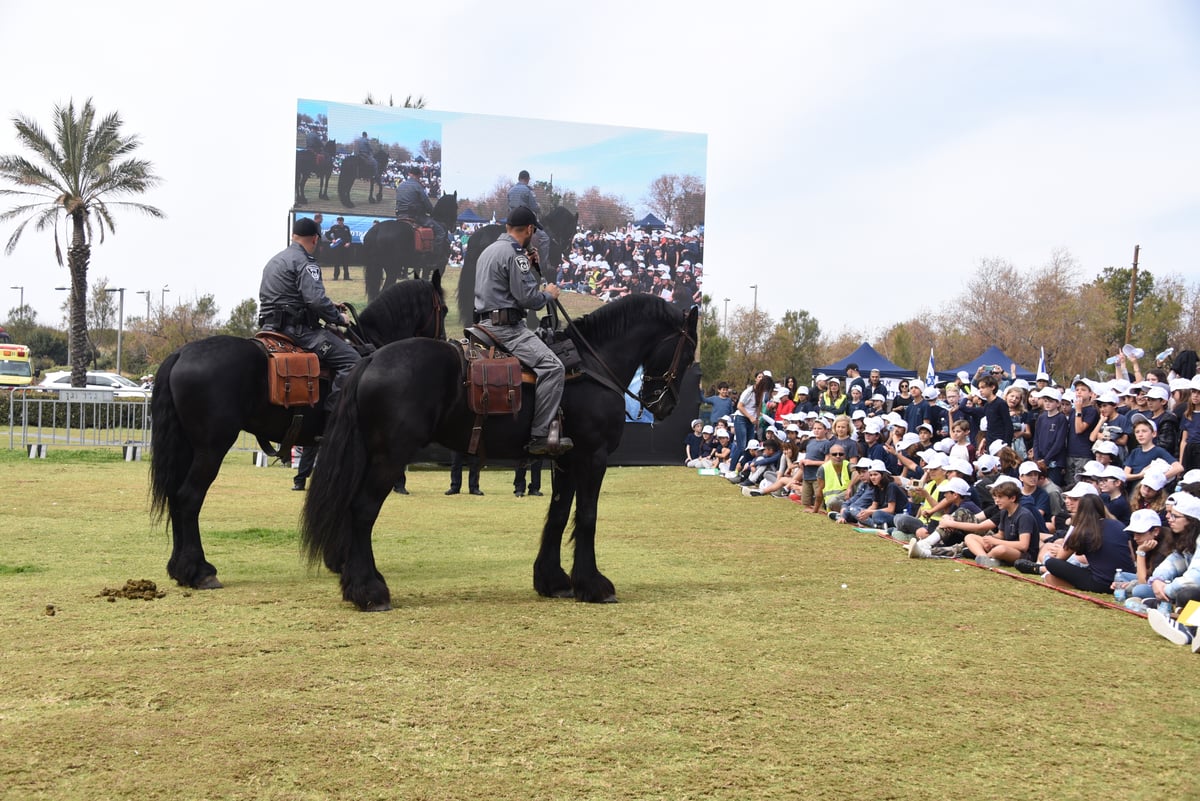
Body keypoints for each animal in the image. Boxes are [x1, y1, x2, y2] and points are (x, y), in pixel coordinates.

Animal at [150, 278, 448, 592]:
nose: (445, 341)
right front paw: (344, 560)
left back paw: (179, 569)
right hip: (212, 448)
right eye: (443, 309)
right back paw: (199, 571)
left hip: (187, 448)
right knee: (188, 497)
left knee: (174, 496)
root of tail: (181, 353)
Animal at [297, 293, 700, 613]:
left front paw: (554, 580)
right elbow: (587, 516)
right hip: (389, 458)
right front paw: (595, 585)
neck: (590, 364)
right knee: (362, 511)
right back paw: (370, 591)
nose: (663, 404)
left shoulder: (565, 460)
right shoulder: (593, 456)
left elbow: (558, 515)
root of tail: (371, 359)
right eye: (688, 351)